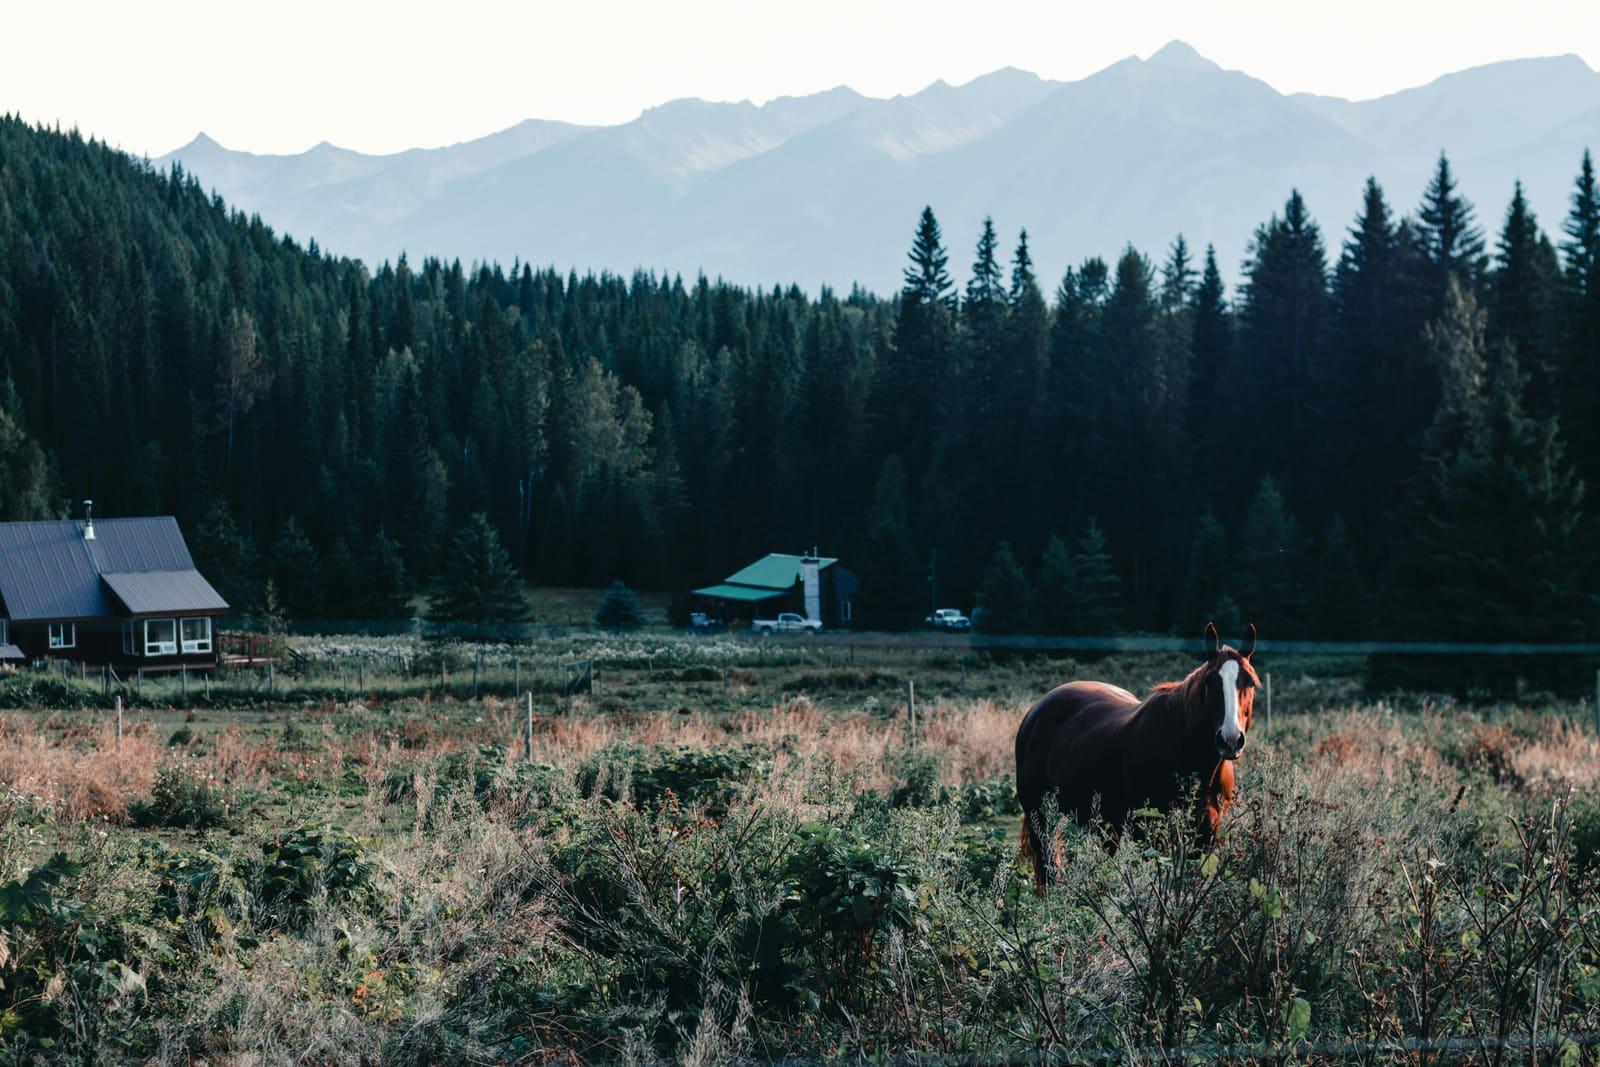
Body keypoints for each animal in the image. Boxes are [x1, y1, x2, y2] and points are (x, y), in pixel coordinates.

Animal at [1014, 622, 1259, 892]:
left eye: (1250, 682)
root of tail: (1036, 711)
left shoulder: (1205, 837)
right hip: (1041, 818)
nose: (1230, 739)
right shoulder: (1152, 835)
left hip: (1105, 827)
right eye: (1210, 682)